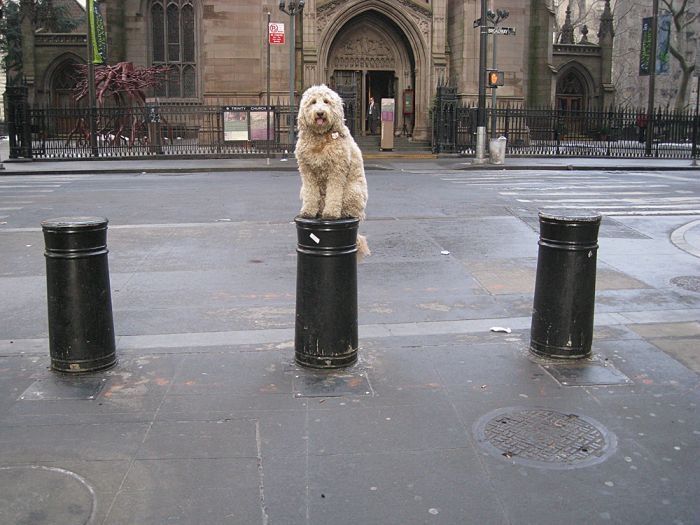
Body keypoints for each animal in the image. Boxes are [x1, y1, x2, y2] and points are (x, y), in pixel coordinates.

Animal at [296, 84, 372, 258]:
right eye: (313, 102)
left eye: (326, 101)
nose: (320, 113)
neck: (320, 137)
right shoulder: (307, 172)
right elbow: (311, 194)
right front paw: (308, 211)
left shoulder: (336, 171)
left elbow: (334, 194)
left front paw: (331, 213)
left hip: (353, 191)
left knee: (351, 210)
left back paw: (342, 213)